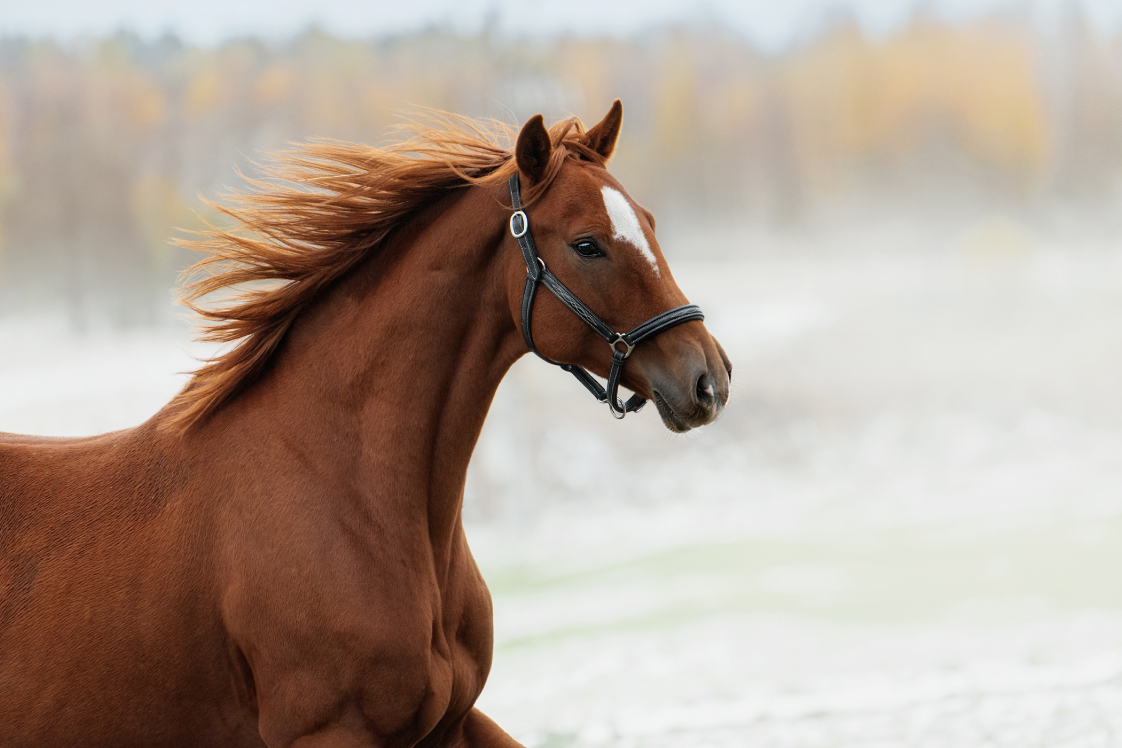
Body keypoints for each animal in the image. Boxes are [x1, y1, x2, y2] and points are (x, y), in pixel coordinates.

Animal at [0, 100, 727, 748]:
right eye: (586, 245)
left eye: (649, 221)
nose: (708, 380)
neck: (348, 490)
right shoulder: (332, 732)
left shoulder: (452, 724)